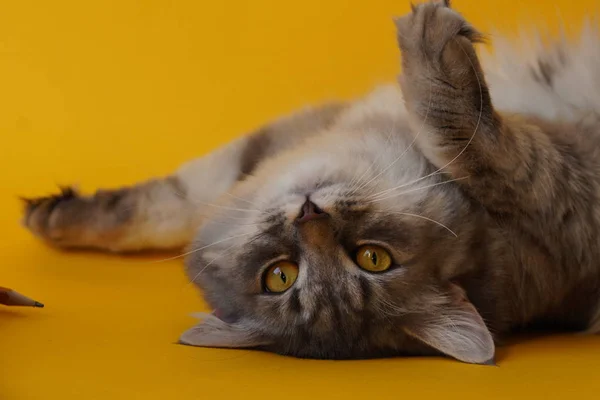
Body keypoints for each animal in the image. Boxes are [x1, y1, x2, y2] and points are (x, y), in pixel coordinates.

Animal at [21, 0, 600, 364]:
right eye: (281, 275)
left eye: (373, 258)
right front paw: (56, 218)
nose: (309, 215)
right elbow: (165, 206)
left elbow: (483, 146)